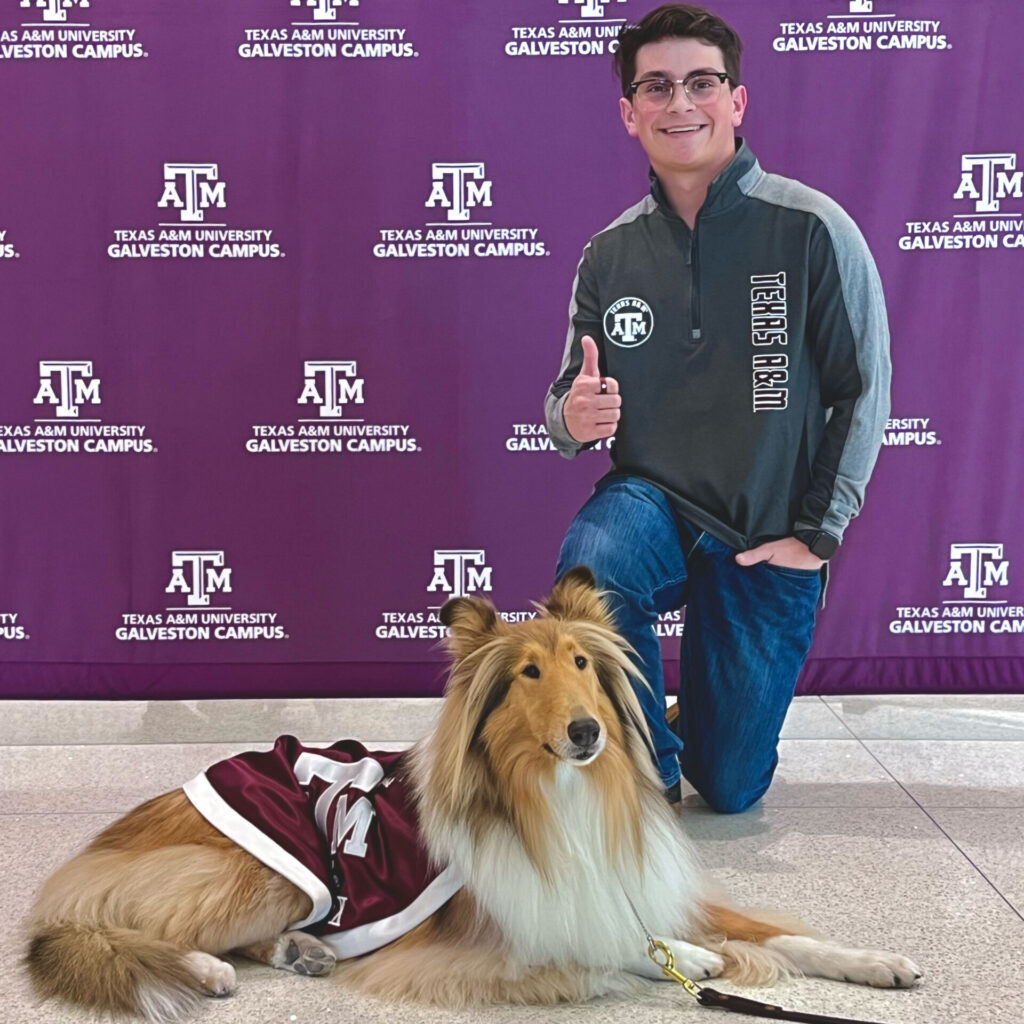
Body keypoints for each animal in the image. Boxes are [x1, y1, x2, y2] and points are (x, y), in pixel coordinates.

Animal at [25, 569, 921, 1015]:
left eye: (583, 663)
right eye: (527, 674)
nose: (587, 733)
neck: (556, 799)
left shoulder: (637, 883)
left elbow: (784, 934)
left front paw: (878, 962)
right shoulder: (487, 938)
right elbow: (600, 948)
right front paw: (687, 957)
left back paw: (299, 953)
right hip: (256, 873)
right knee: (121, 931)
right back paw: (208, 970)